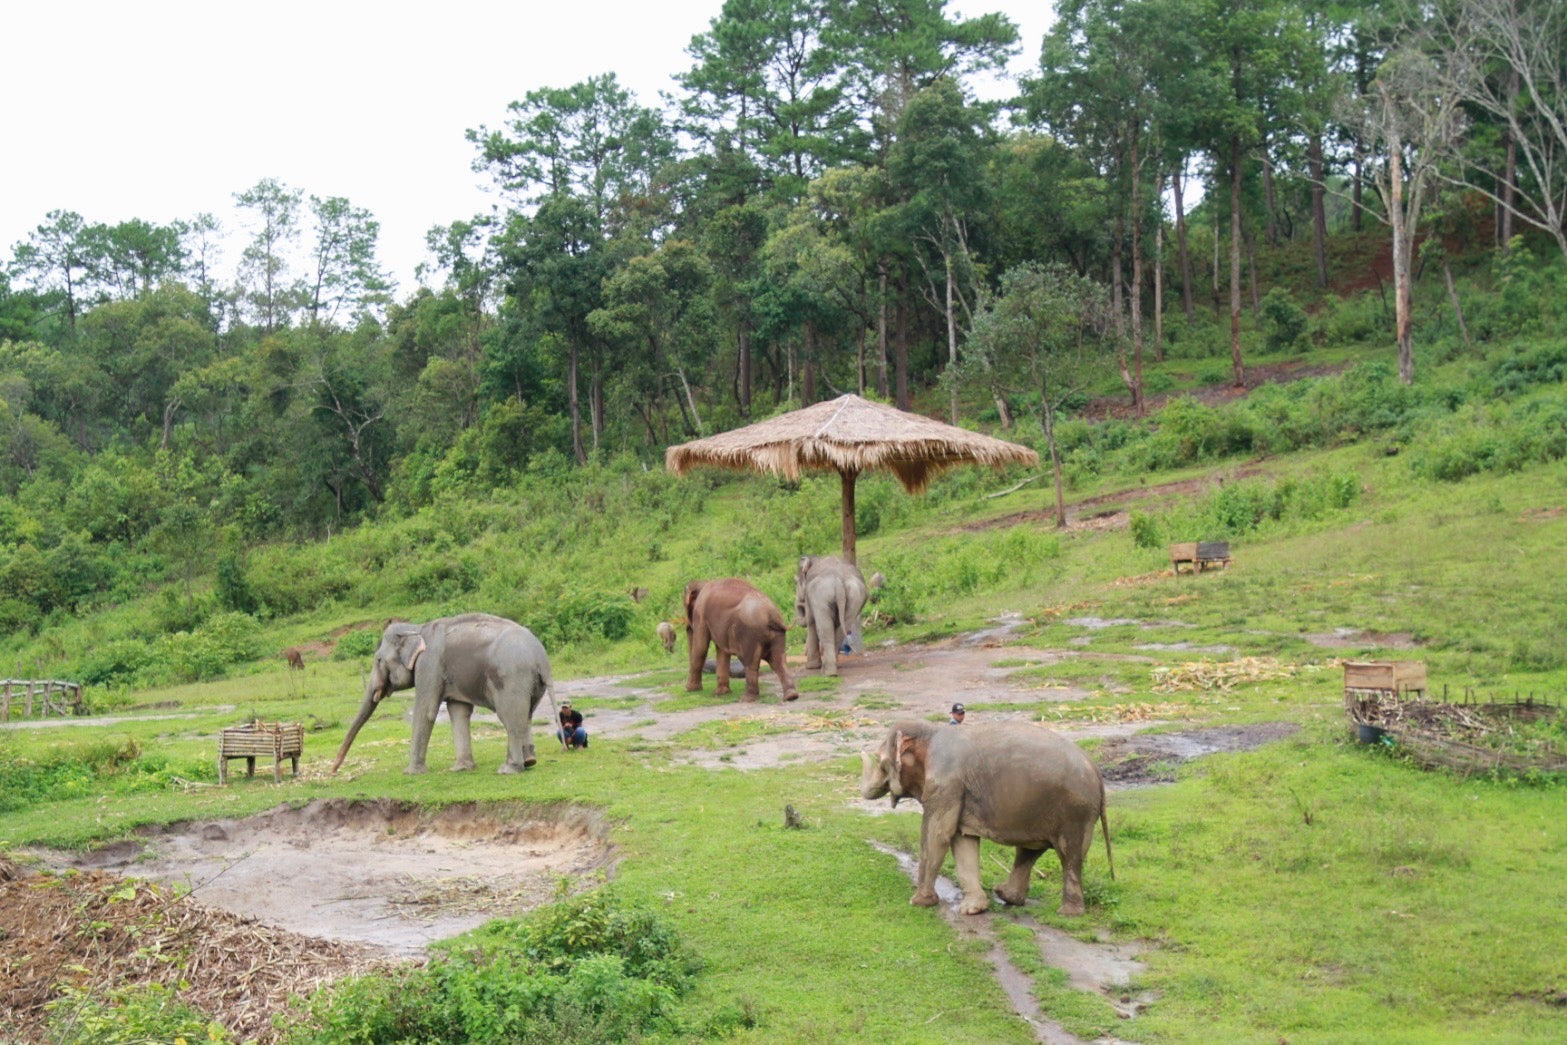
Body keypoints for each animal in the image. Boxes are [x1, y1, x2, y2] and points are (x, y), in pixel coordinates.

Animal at [331, 613, 553, 775]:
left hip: (511, 678)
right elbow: (458, 710)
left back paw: (508, 769)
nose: (334, 771)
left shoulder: (429, 665)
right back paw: (530, 761)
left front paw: (411, 773)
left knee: (511, 718)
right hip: (529, 683)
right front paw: (461, 769)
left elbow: (426, 711)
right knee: (526, 715)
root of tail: (541, 658)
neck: (417, 628)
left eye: (378, 660)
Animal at [860, 720, 1113, 916]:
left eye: (880, 762)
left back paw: (1068, 913)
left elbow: (938, 834)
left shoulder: (946, 783)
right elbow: (962, 840)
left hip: (1075, 811)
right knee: (1031, 850)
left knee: (1069, 854)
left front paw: (918, 902)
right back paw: (1007, 895)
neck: (932, 730)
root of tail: (1096, 771)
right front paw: (973, 909)